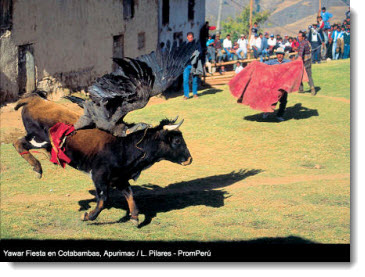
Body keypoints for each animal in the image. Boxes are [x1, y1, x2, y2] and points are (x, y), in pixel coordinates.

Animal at [12, 94, 192, 223]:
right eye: (177, 140)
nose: (189, 159)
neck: (123, 145)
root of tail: (34, 99)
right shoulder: (99, 175)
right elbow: (103, 199)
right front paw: (89, 216)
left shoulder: (119, 178)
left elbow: (129, 194)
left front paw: (134, 216)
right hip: (39, 138)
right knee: (18, 143)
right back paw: (37, 168)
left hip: (40, 140)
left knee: (22, 144)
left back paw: (43, 163)